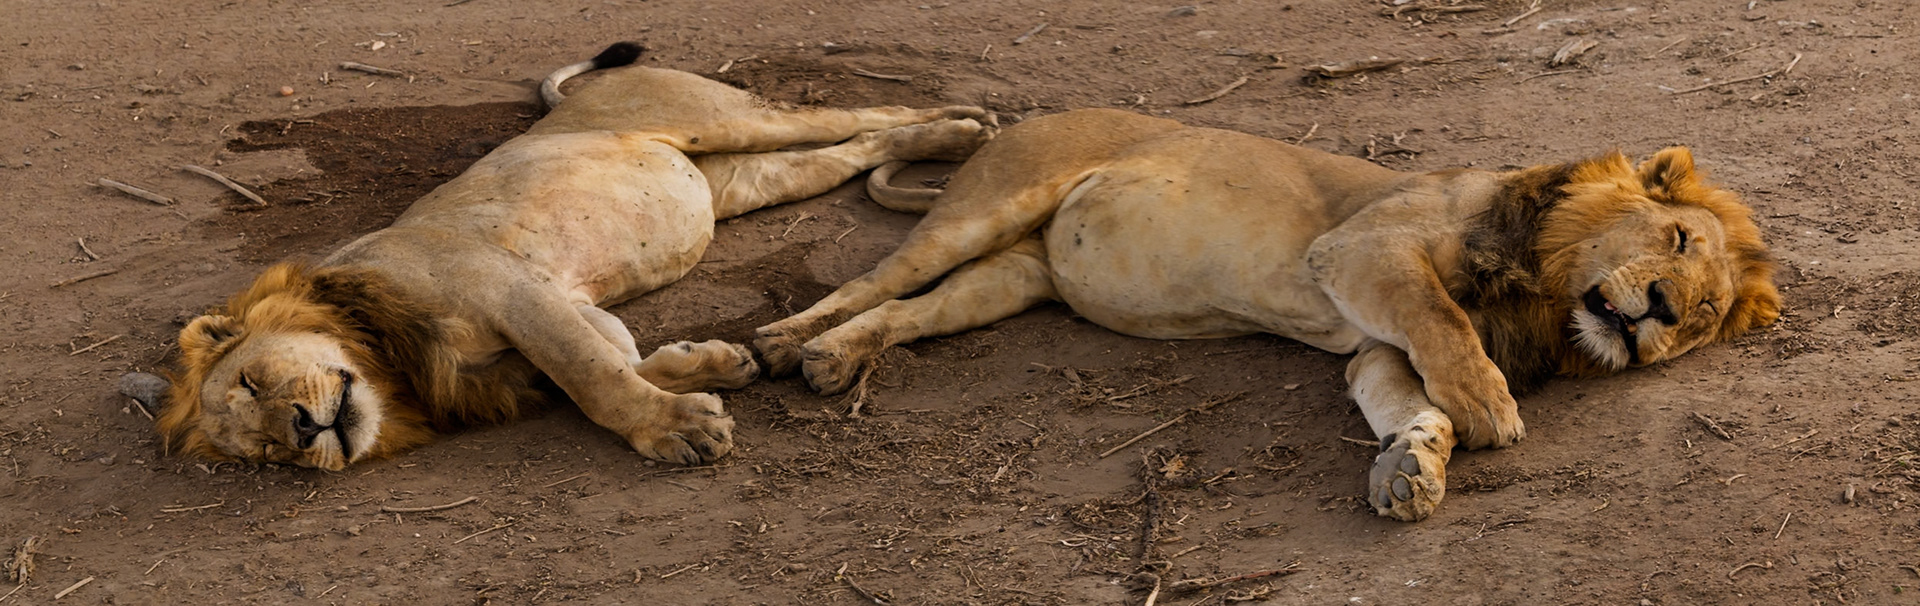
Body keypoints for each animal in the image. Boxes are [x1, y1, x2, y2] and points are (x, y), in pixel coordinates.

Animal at [153, 42, 993, 471]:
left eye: (255, 381)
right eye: (267, 456)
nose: (302, 432)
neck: (390, 361)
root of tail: (579, 97)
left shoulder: (508, 289)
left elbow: (591, 378)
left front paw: (677, 431)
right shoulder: (562, 305)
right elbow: (615, 355)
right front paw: (713, 366)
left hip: (727, 119)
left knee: (867, 112)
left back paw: (966, 126)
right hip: (745, 178)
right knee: (855, 150)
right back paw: (943, 140)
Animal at [751, 108, 1779, 521]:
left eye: (1702, 315)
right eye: (1678, 241)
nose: (1658, 313)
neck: (1548, 295)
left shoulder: (1374, 348)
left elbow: (1414, 400)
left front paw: (1411, 468)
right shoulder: (1363, 251)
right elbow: (1445, 328)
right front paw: (1494, 409)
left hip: (1012, 276)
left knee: (913, 312)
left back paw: (835, 361)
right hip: (988, 204)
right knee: (873, 282)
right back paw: (775, 344)